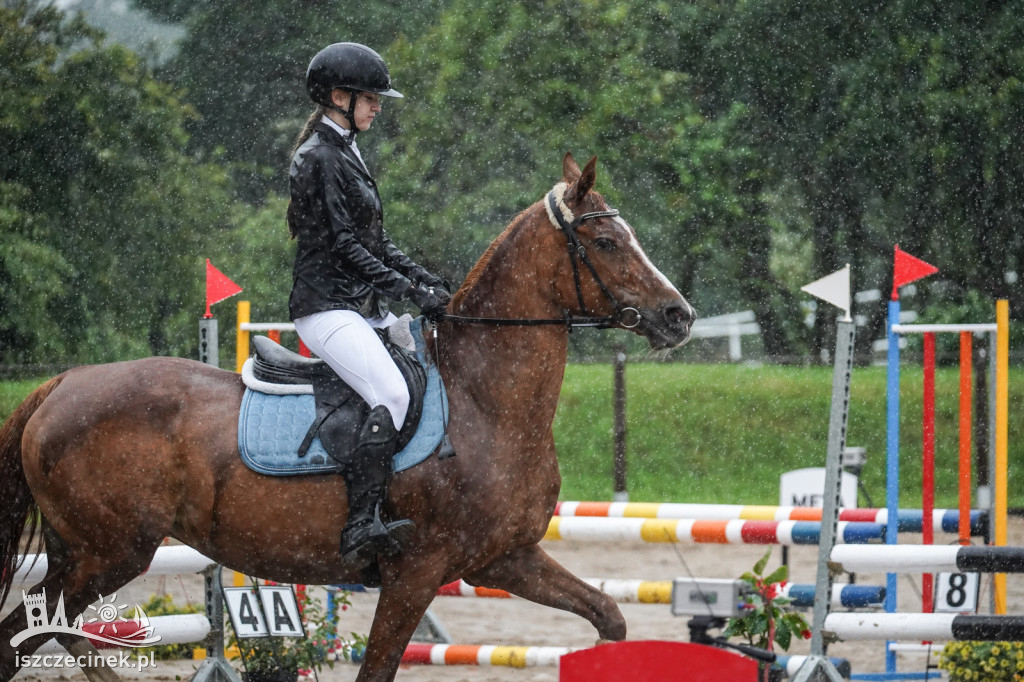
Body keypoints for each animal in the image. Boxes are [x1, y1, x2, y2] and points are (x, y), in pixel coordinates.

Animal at [0, 152, 696, 679]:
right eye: (606, 242)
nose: (678, 316)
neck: (484, 399)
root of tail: (60, 384)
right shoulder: (416, 572)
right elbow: (378, 668)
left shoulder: (505, 558)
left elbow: (609, 616)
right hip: (111, 552)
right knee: (30, 633)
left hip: (81, 554)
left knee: (42, 631)